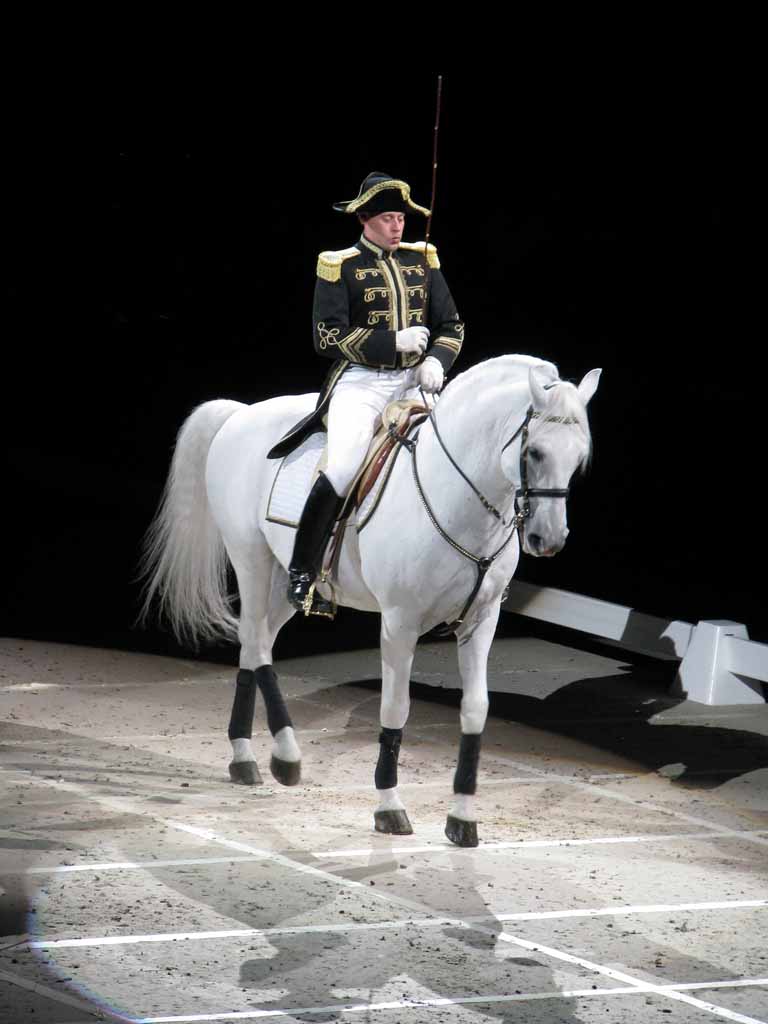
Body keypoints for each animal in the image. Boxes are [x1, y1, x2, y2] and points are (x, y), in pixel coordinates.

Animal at [141, 356, 606, 843]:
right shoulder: (400, 621)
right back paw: (284, 756)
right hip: (250, 558)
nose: (548, 539)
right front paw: (389, 805)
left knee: (257, 644)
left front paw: (462, 817)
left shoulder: (482, 621)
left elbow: (476, 709)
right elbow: (396, 706)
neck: (456, 495)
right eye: (534, 452)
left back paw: (245, 755)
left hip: (282, 583)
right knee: (256, 642)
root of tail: (241, 413)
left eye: (578, 458)